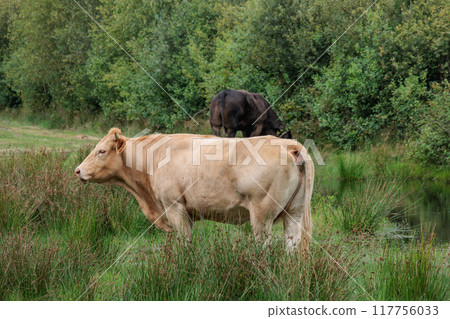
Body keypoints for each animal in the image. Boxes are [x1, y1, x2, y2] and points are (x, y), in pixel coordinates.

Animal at [74, 129, 312, 251]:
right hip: (295, 213)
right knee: (292, 247)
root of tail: (290, 145)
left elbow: (185, 244)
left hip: (262, 216)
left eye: (101, 151)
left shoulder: (174, 208)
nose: (78, 171)